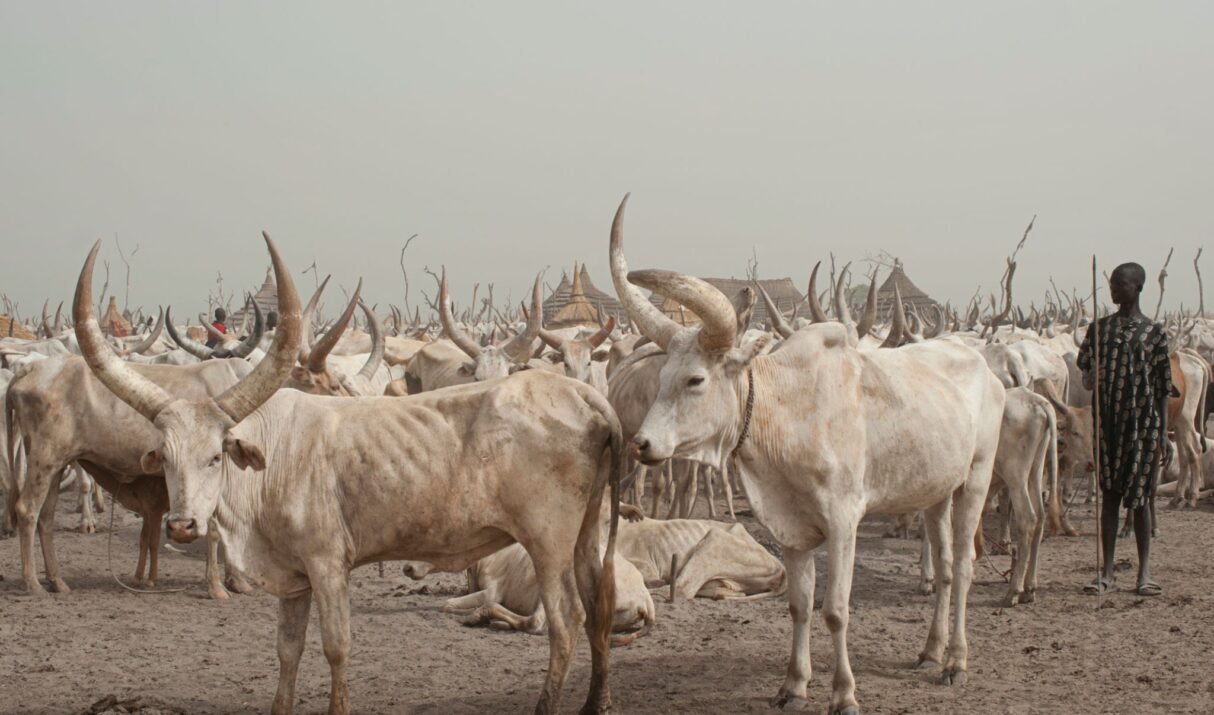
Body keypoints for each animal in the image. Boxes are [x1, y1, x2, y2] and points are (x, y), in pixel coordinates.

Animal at [72, 234, 620, 715]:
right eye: (164, 457)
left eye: (215, 456)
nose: (183, 525)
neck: (276, 455)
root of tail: (582, 393)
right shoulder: (293, 579)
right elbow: (287, 650)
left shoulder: (328, 564)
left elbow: (336, 647)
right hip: (585, 532)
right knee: (599, 604)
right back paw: (596, 703)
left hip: (547, 542)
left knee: (567, 620)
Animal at [609, 195, 1004, 713]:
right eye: (661, 377)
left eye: (696, 379)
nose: (641, 443)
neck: (788, 411)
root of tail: (985, 365)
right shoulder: (791, 528)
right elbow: (799, 605)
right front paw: (794, 685)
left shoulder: (843, 521)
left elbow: (835, 610)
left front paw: (844, 694)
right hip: (935, 492)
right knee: (942, 570)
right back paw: (930, 652)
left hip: (975, 479)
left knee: (962, 566)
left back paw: (956, 661)